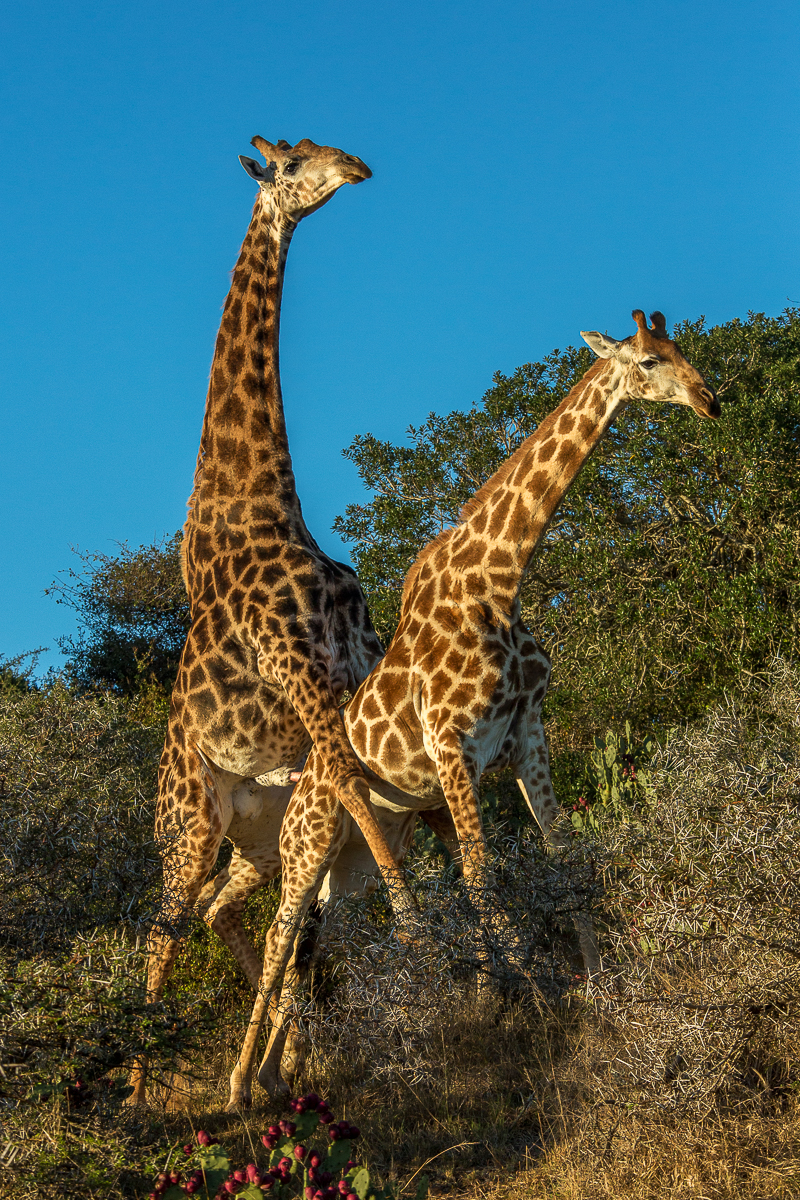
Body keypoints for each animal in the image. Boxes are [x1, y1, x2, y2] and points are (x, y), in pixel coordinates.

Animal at [128, 136, 417, 1099]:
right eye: (291, 163)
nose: (356, 166)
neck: (262, 510)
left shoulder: (342, 682)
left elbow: (351, 833)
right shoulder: (299, 670)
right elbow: (360, 818)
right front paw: (422, 928)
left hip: (247, 836)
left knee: (232, 912)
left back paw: (265, 1066)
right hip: (188, 822)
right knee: (164, 927)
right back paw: (148, 1088)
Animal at [227, 309, 724, 1104]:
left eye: (681, 350)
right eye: (649, 361)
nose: (712, 402)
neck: (498, 579)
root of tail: (302, 782)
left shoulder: (527, 732)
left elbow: (562, 859)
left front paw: (603, 986)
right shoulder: (452, 741)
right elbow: (481, 876)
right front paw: (507, 998)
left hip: (357, 858)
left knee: (317, 937)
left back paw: (281, 1071)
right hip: (308, 840)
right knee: (279, 934)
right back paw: (240, 1084)